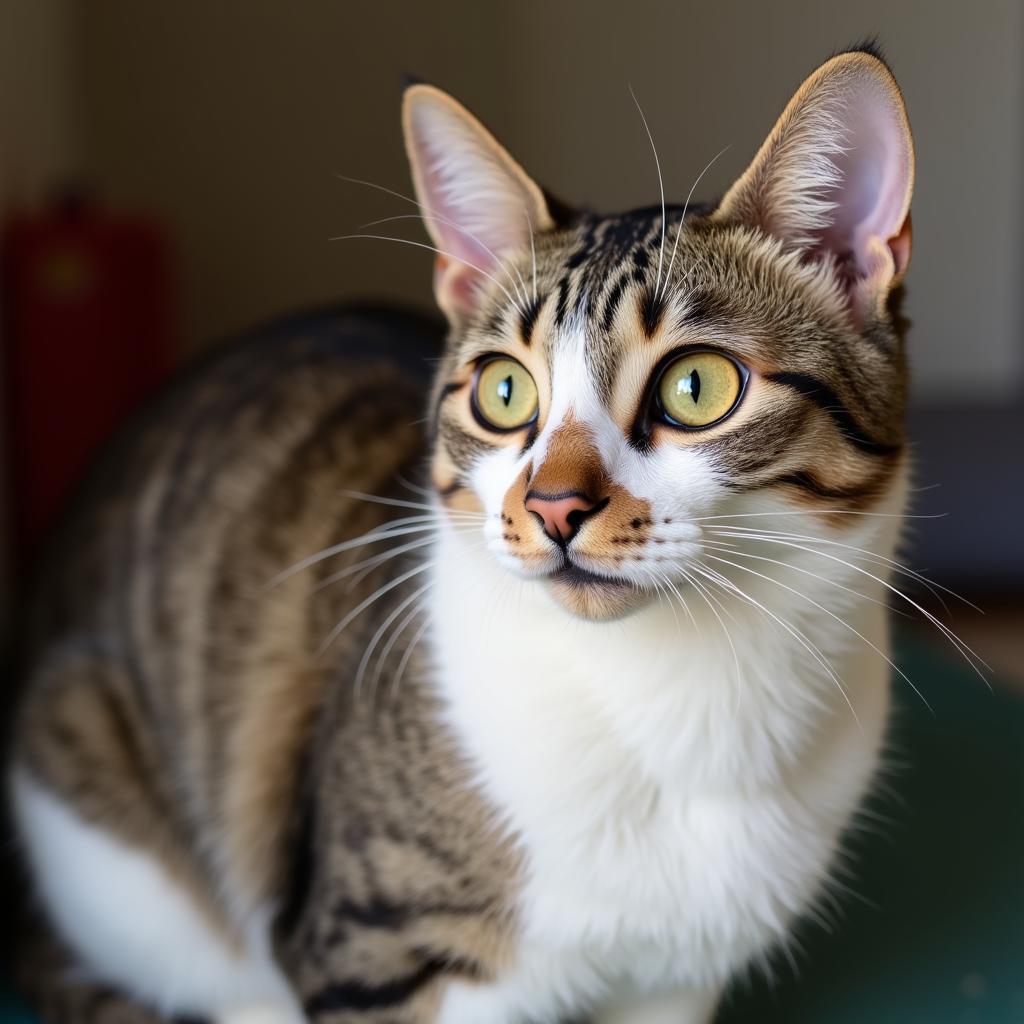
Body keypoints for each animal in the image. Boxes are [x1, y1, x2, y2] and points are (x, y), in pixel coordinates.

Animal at [8, 44, 917, 1024]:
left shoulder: (678, 978)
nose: (553, 506)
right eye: (503, 391)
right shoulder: (378, 949)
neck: (685, 696)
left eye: (697, 386)